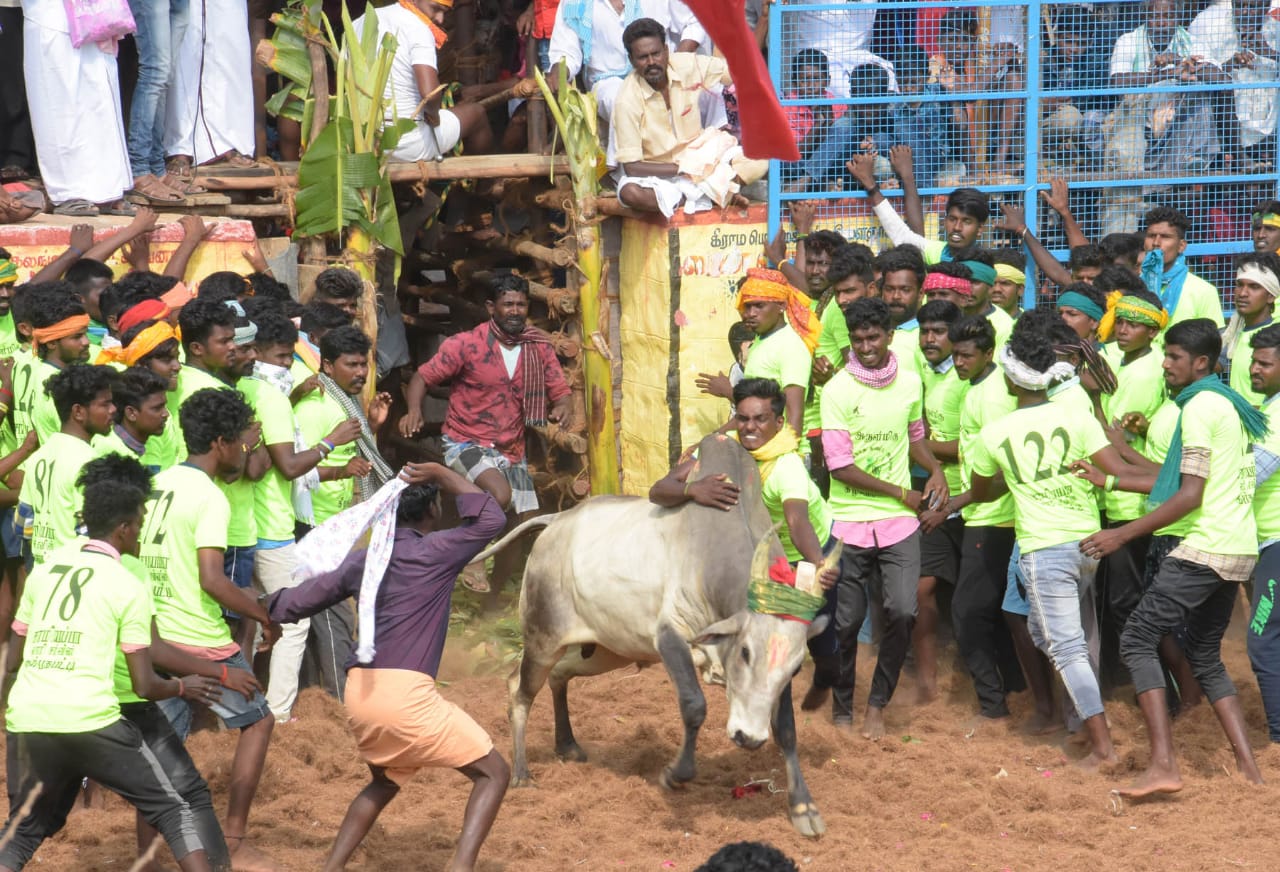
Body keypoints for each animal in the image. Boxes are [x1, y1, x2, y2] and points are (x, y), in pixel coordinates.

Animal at [473, 435, 839, 834]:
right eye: (744, 652)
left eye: (795, 669)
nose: (749, 738)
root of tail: (556, 521)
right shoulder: (670, 637)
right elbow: (694, 706)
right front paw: (676, 775)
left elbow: (786, 727)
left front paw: (803, 806)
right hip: (543, 637)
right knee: (519, 689)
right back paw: (522, 773)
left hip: (605, 651)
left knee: (559, 676)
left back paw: (567, 746)